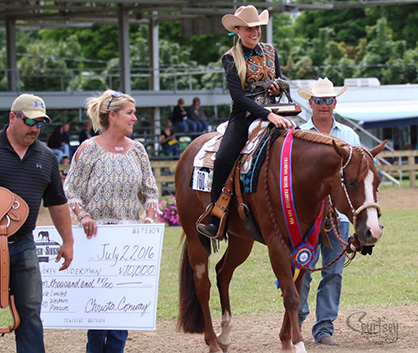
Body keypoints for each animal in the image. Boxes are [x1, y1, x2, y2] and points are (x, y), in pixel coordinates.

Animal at [176, 129, 386, 352]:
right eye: (352, 182)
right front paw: (298, 345)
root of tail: (189, 150)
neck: (296, 179)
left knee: (223, 273)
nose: (373, 231)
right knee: (202, 285)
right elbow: (292, 297)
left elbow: (295, 291)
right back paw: (213, 343)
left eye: (377, 183)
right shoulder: (276, 245)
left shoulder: (306, 246)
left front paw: (286, 341)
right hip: (194, 237)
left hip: (241, 241)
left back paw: (224, 335)